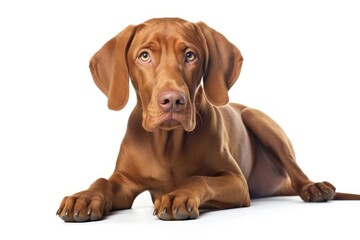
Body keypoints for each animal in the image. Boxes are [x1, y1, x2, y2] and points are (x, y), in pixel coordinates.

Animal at [56, 17, 360, 222]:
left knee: (297, 176)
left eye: (190, 55)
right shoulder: (125, 181)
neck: (168, 144)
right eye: (144, 55)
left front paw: (178, 195)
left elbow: (199, 179)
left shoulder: (235, 181)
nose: (173, 100)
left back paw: (314, 188)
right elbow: (102, 181)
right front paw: (83, 197)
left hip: (258, 119)